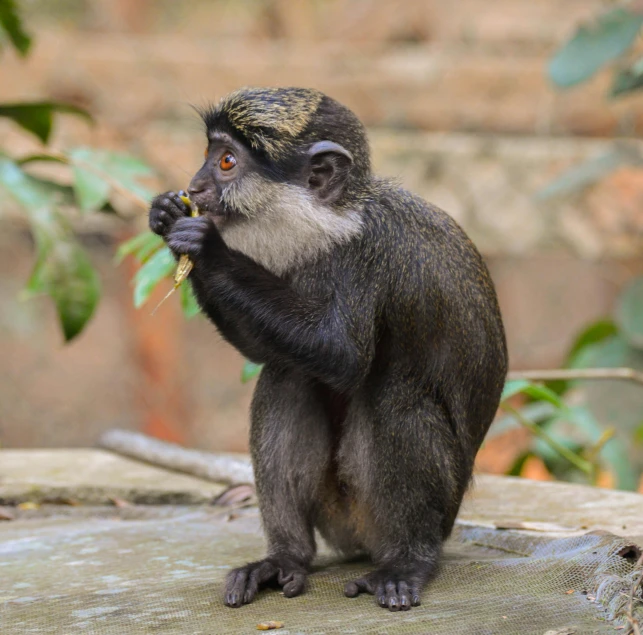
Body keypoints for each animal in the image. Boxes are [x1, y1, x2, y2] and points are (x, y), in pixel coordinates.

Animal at [147, 87, 508, 612]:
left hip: (407, 512)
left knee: (395, 395)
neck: (333, 221)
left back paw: (407, 562)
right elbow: (269, 355)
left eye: (227, 161)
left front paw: (207, 248)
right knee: (286, 373)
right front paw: (165, 215)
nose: (195, 187)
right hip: (335, 513)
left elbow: (342, 355)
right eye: (209, 155)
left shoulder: (370, 251)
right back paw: (286, 557)